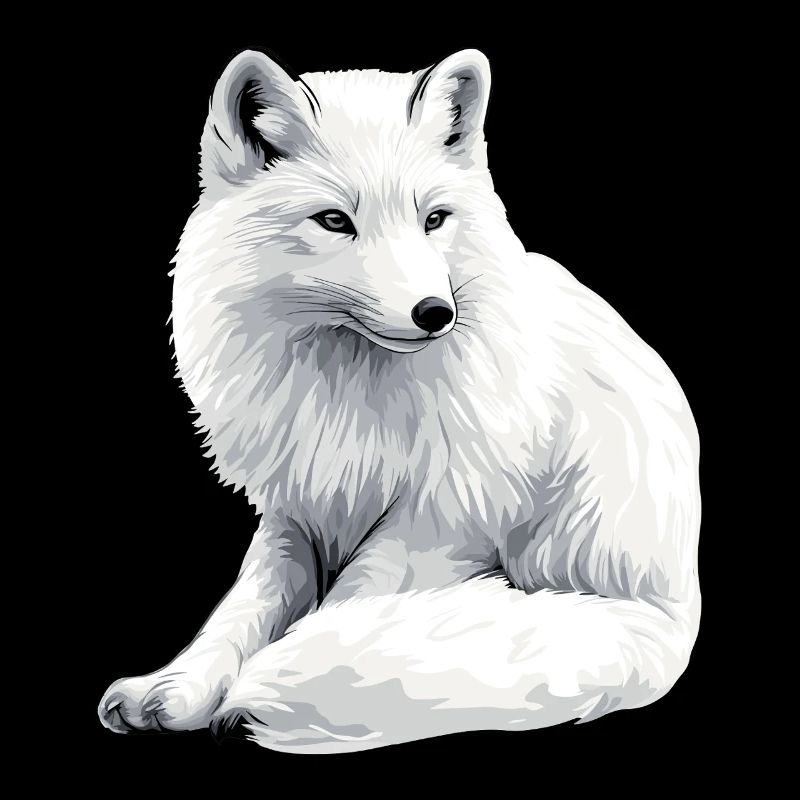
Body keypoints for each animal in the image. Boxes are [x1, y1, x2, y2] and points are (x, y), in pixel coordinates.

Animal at [98, 48, 701, 754]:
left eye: (433, 219)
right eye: (335, 221)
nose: (435, 313)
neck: (349, 392)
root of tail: (673, 611)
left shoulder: (440, 517)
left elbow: (349, 608)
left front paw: (275, 679)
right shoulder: (295, 507)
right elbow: (244, 607)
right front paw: (178, 688)